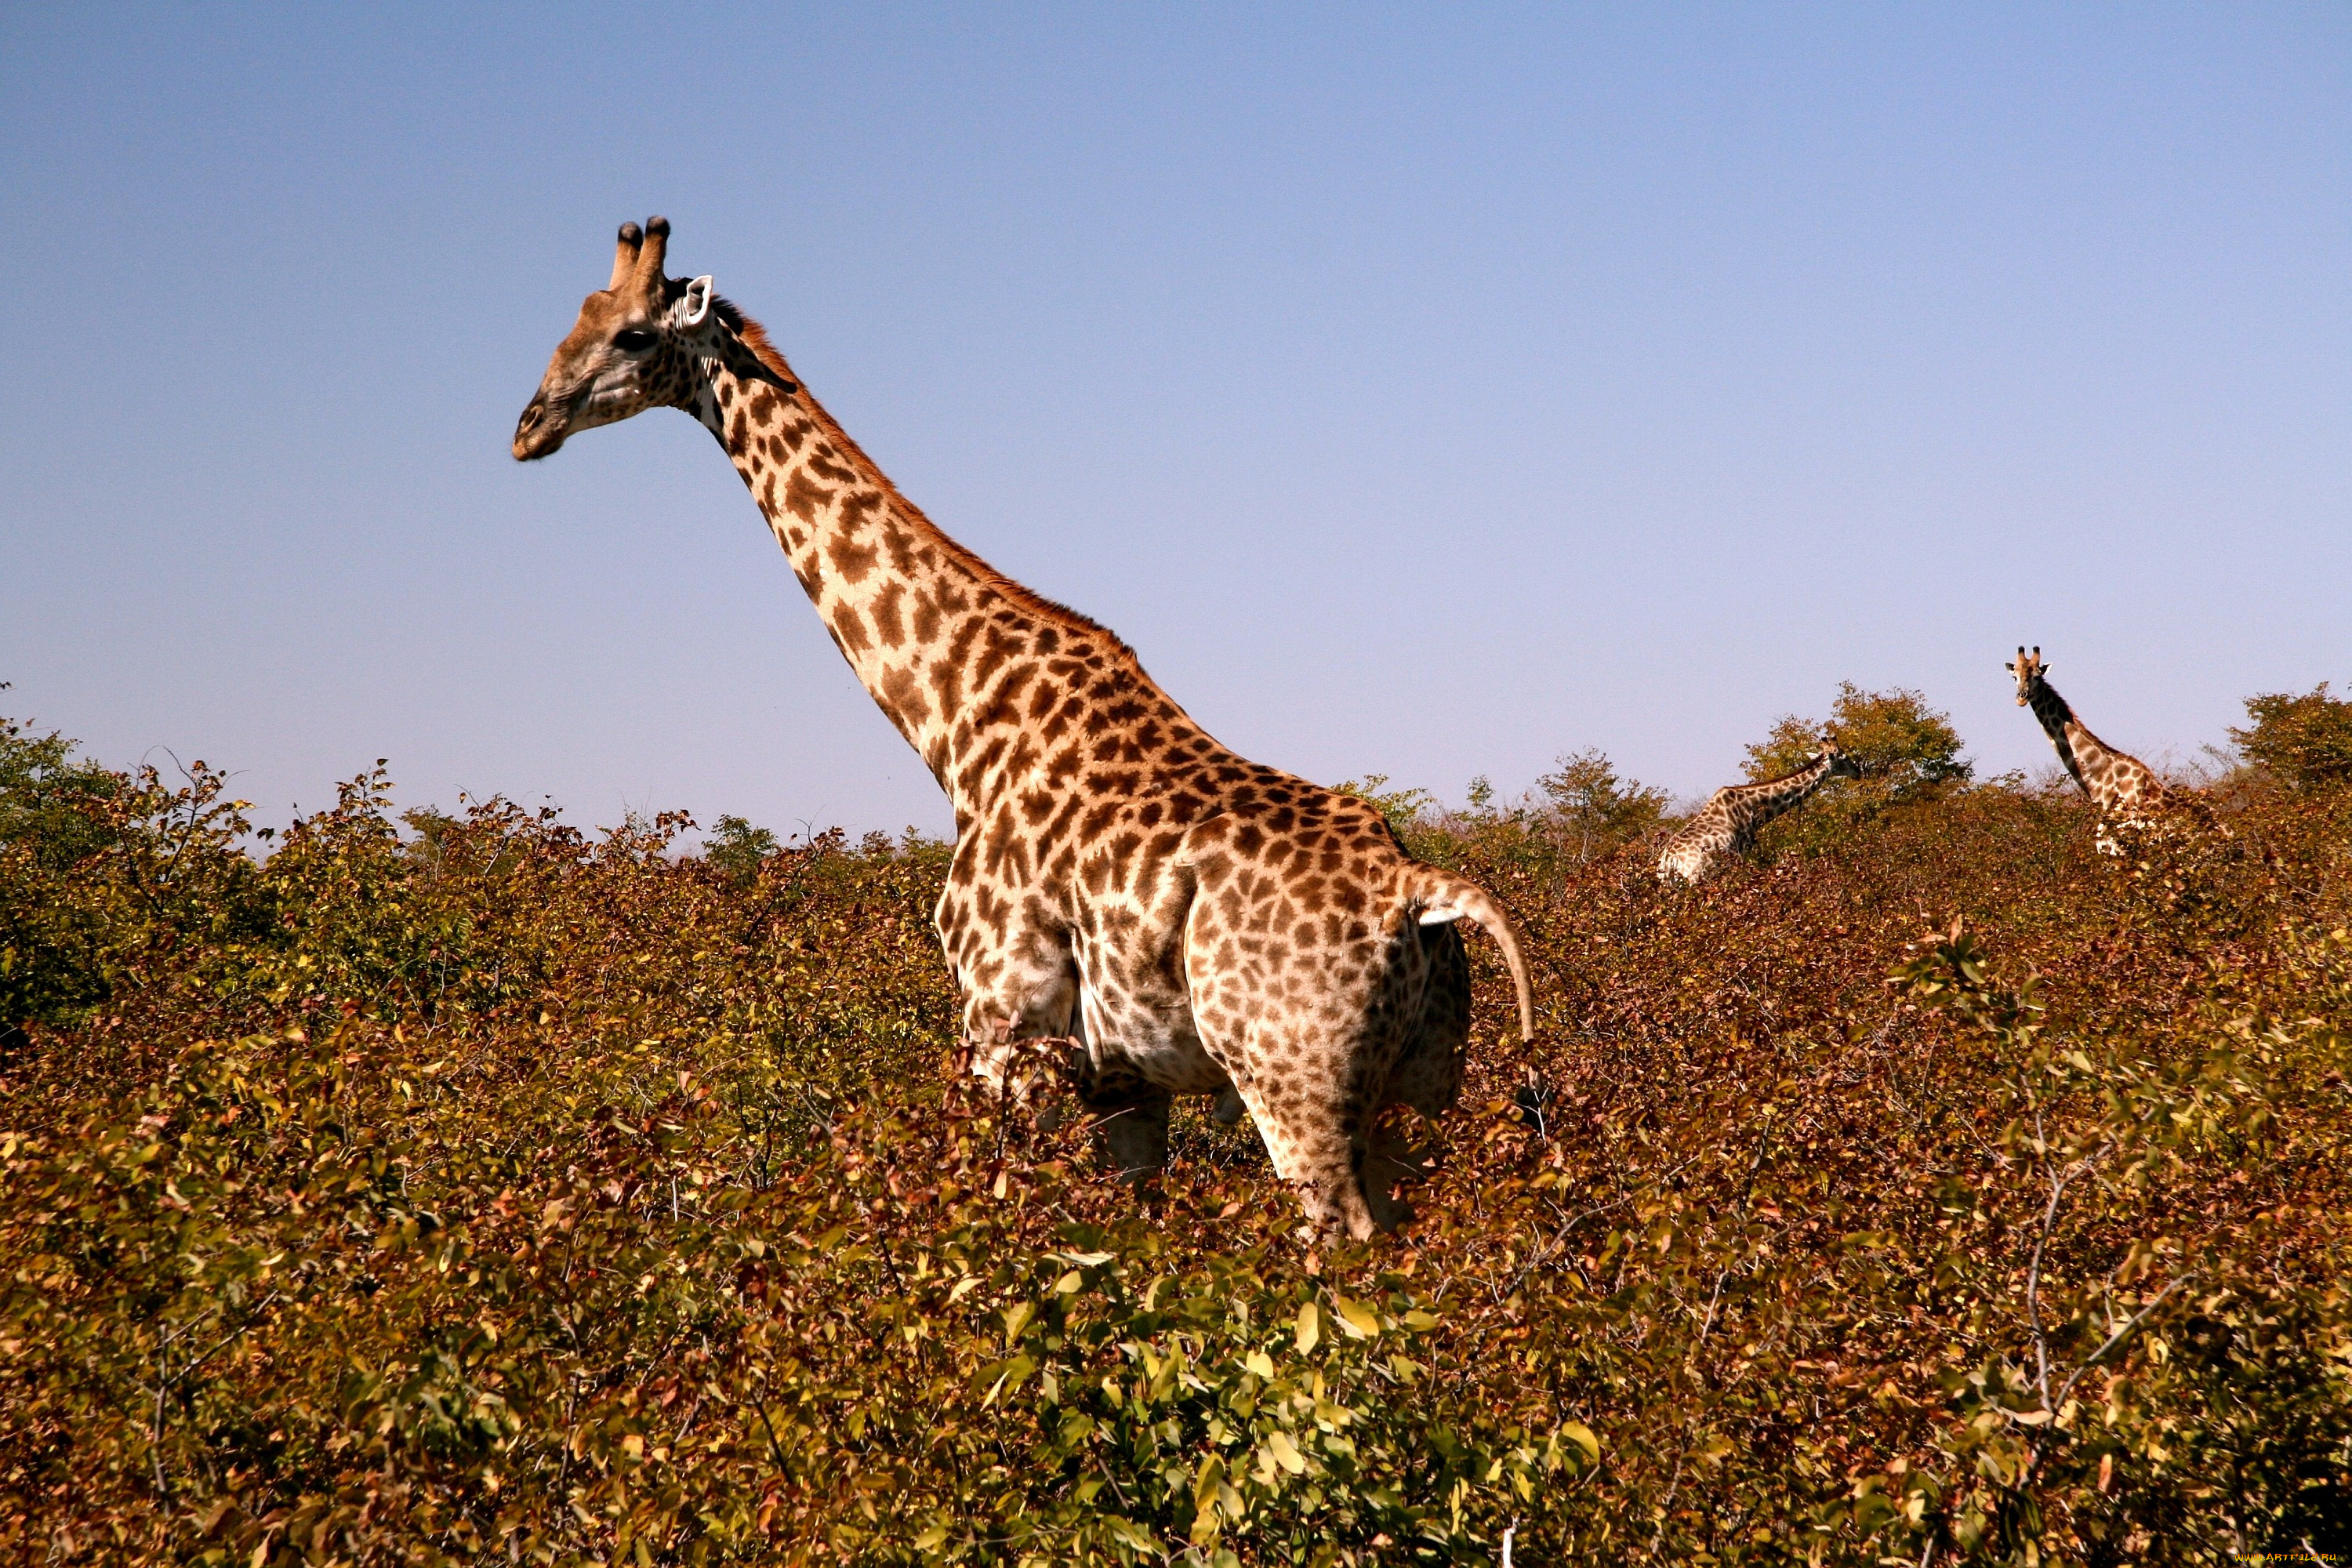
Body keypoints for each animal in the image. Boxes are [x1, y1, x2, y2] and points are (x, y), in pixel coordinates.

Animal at [510, 217, 1543, 1241]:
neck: (956, 722)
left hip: (1294, 1082)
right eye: (575, 316)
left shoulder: (1000, 1017)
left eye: (630, 335)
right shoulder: (1123, 1077)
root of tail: (1422, 891)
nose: (528, 427)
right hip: (1420, 1092)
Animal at [1646, 738, 1863, 884]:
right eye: (1845, 758)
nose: (1859, 771)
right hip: (1698, 877)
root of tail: (1669, 862)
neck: (1753, 808)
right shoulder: (1744, 853)